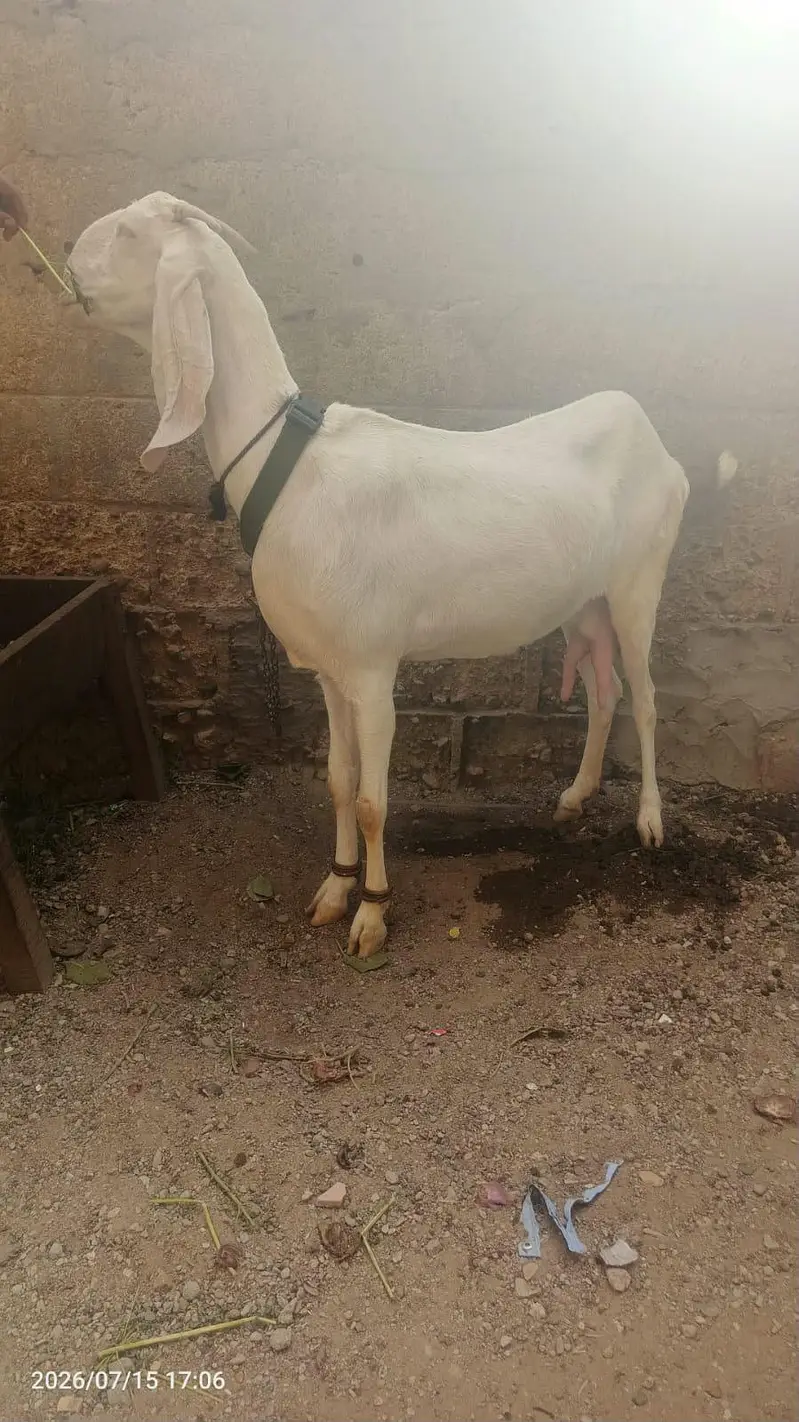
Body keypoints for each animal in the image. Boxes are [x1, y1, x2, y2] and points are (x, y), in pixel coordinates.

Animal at [68, 191, 710, 958]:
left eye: (131, 234)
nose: (68, 261)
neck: (288, 463)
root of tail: (657, 445)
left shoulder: (374, 668)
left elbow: (375, 801)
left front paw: (371, 916)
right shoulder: (329, 668)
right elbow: (339, 783)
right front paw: (333, 889)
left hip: (639, 580)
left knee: (644, 697)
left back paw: (649, 822)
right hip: (581, 600)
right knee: (603, 690)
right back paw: (573, 798)